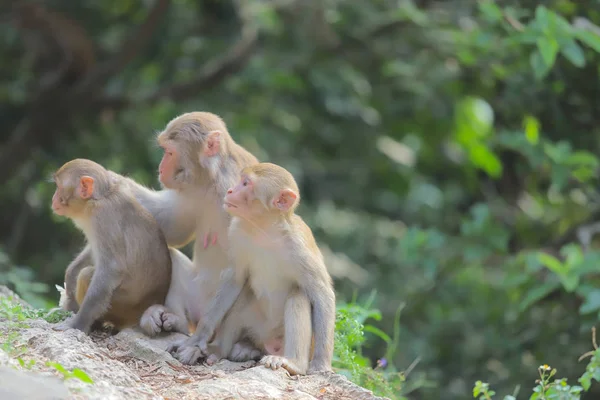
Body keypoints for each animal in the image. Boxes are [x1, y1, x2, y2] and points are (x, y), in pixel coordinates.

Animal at [49, 158, 172, 332]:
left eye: (59, 187)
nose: (53, 198)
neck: (100, 197)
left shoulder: (102, 217)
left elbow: (111, 269)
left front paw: (76, 325)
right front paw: (70, 276)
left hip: (121, 307)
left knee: (86, 275)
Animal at [182, 162, 338, 376]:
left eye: (246, 184)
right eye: (241, 180)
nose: (230, 190)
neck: (264, 229)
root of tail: (268, 343)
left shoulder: (300, 247)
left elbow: (321, 294)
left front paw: (321, 364)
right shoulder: (236, 232)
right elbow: (235, 279)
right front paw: (198, 339)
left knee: (299, 294)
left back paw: (293, 363)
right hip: (256, 327)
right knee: (244, 292)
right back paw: (220, 349)